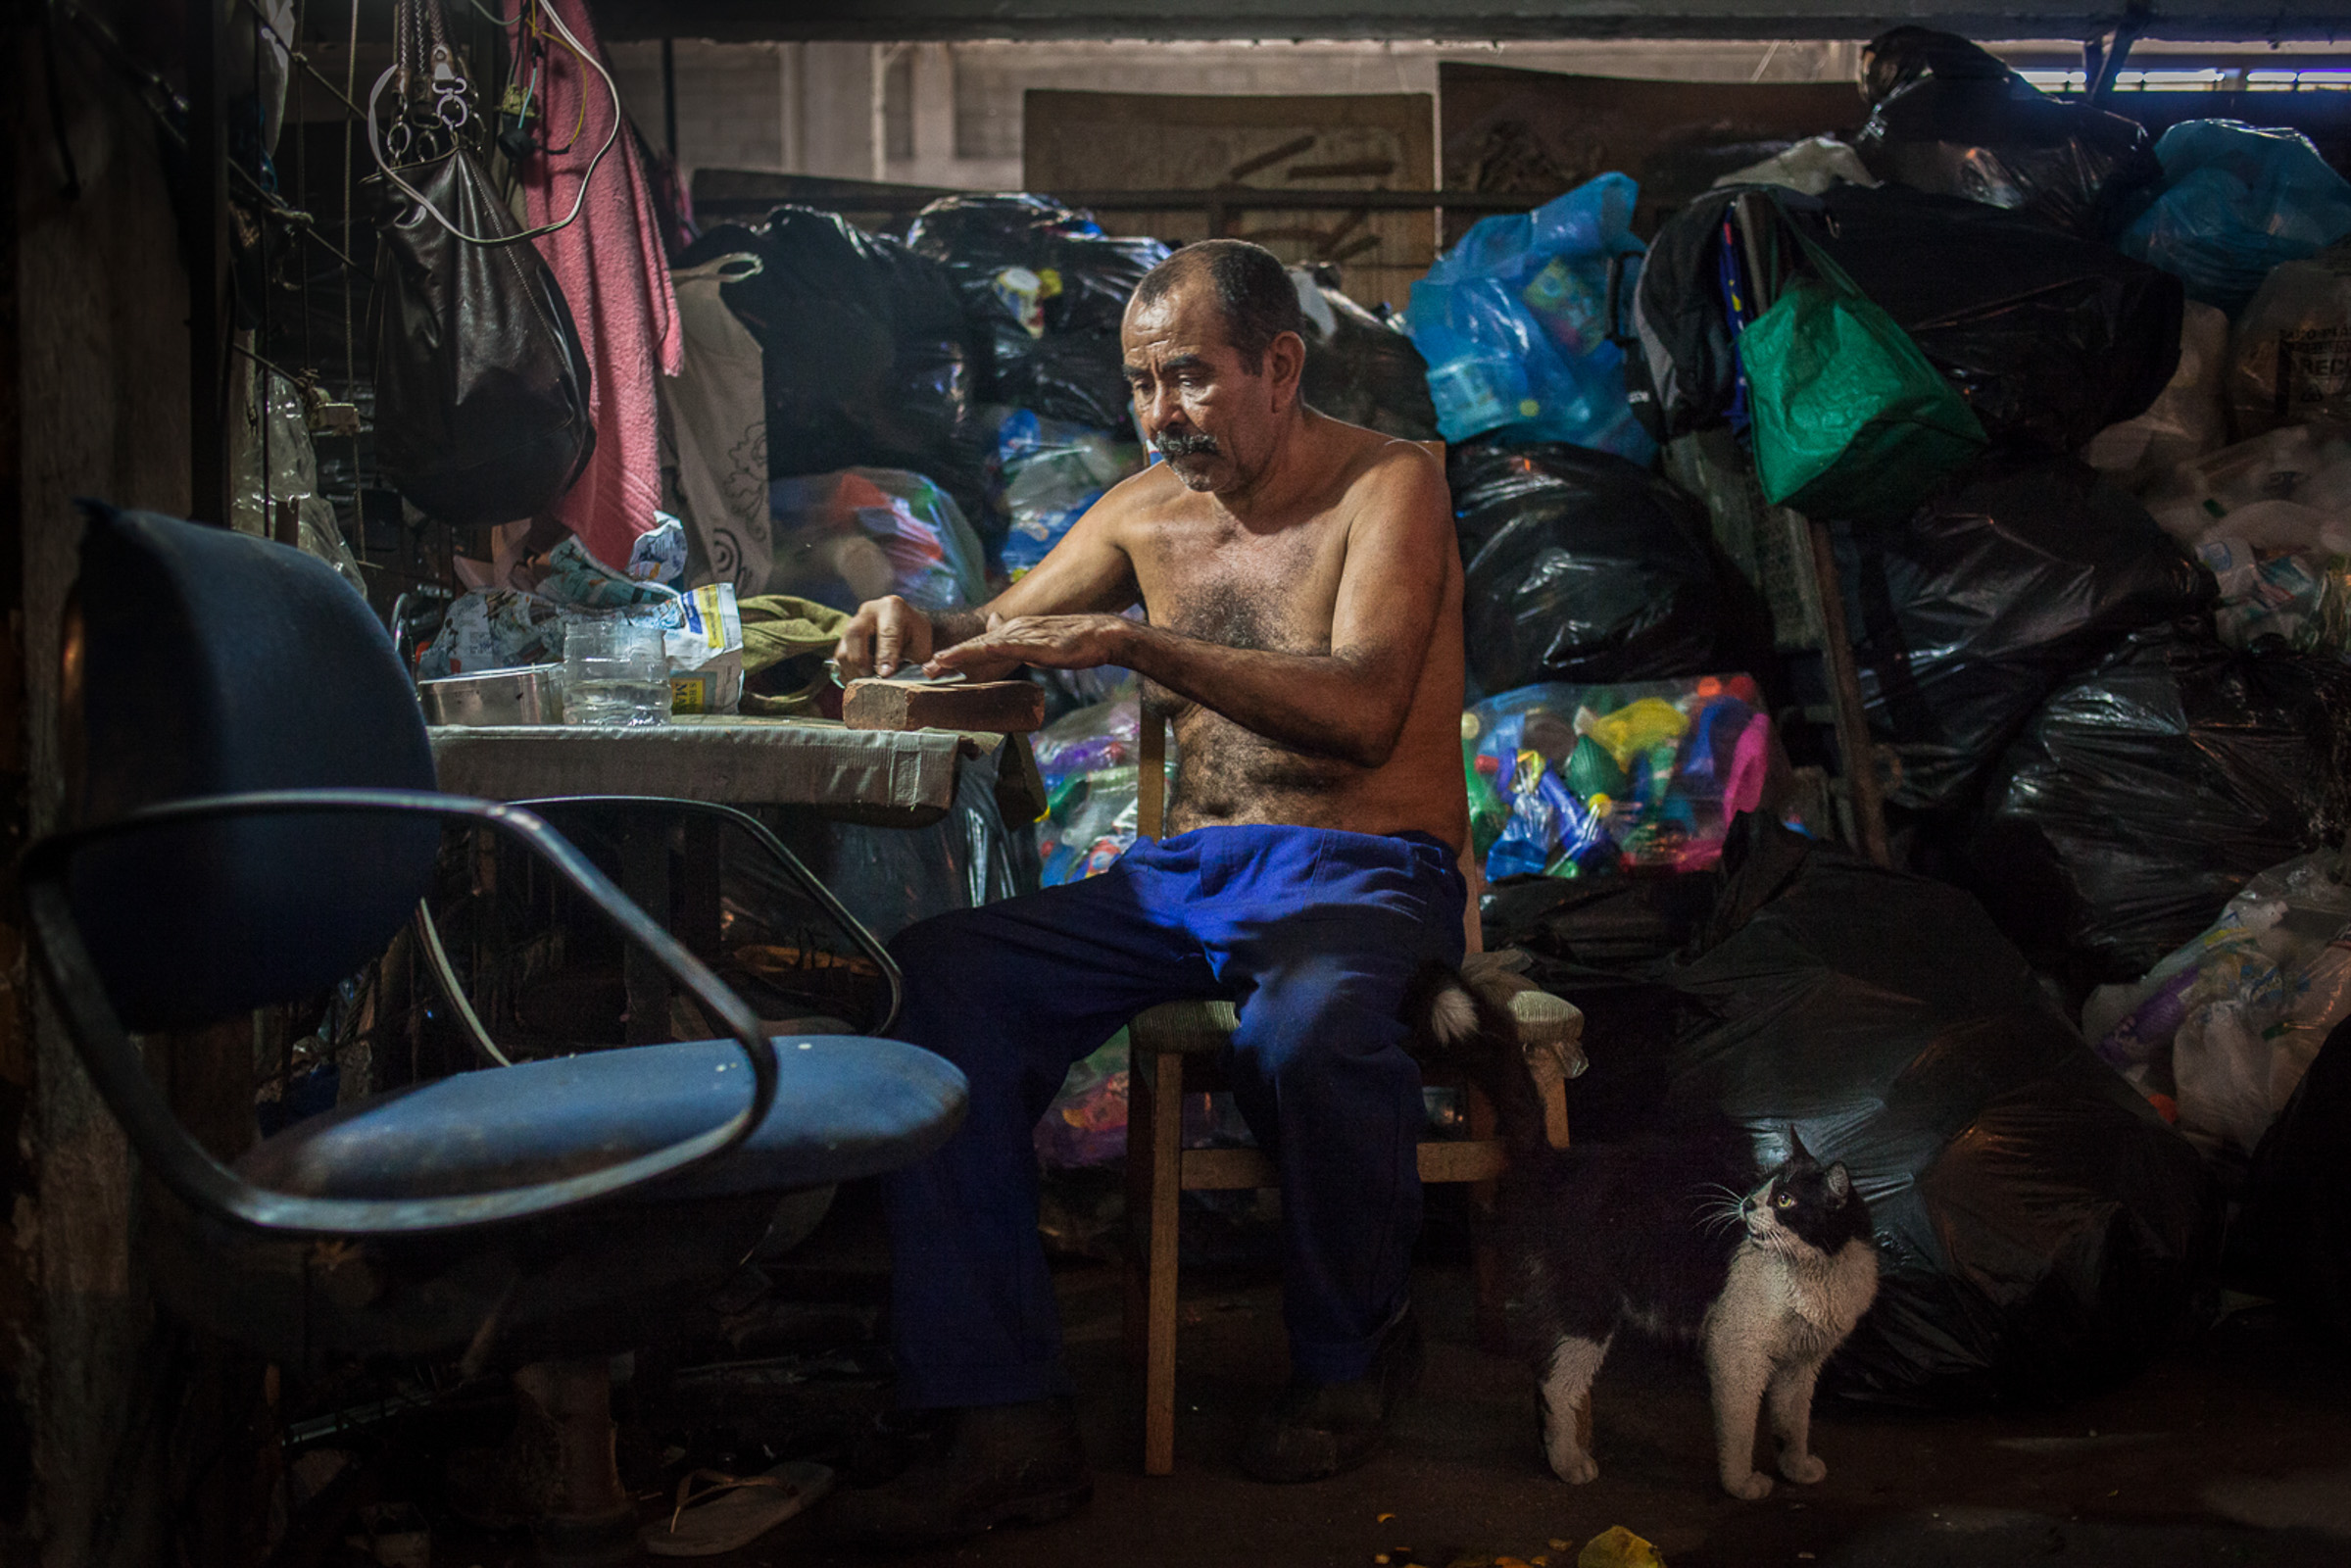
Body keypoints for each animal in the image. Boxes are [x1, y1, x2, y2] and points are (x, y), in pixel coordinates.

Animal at [1400, 963, 1881, 1504]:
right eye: (1764, 1188)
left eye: (1784, 1200)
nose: (1745, 1205)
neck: (1816, 1274)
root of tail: (1559, 1161)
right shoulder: (1738, 1353)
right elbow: (1739, 1429)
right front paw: (1742, 1485)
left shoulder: (1801, 1368)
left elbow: (1792, 1422)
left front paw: (1796, 1468)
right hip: (1587, 1309)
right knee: (1553, 1384)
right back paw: (1569, 1464)